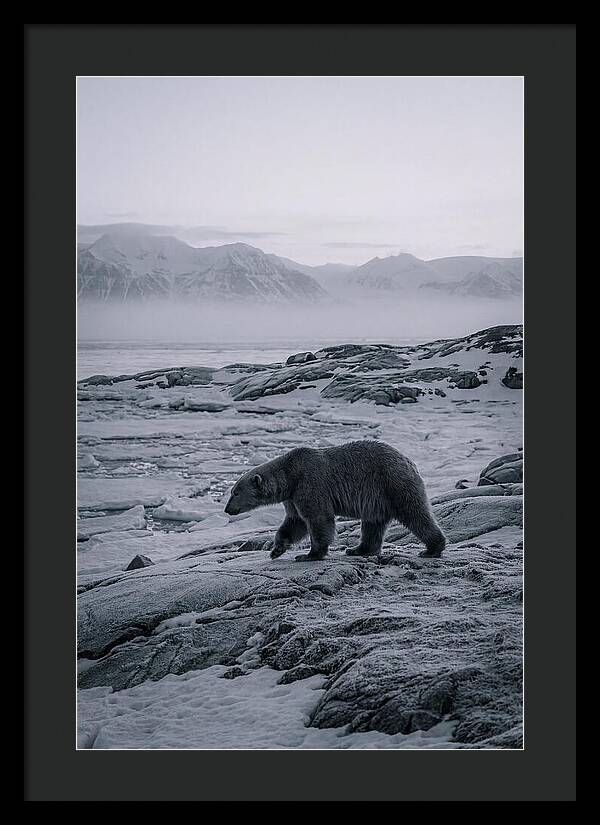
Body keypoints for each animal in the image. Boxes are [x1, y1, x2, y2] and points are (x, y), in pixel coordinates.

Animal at [223, 440, 445, 562]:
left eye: (235, 493)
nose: (227, 509)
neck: (290, 475)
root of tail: (409, 461)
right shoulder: (293, 497)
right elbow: (295, 521)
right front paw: (276, 549)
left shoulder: (310, 483)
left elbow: (318, 518)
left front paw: (309, 554)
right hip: (377, 499)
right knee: (373, 524)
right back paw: (357, 549)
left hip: (393, 483)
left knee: (415, 513)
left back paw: (432, 548)